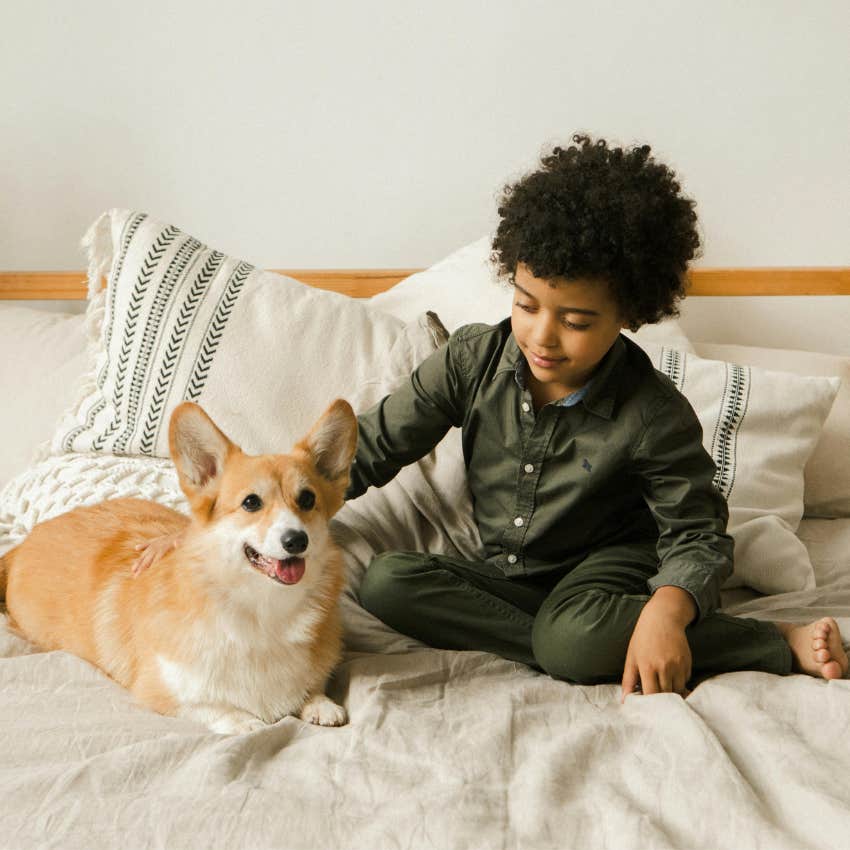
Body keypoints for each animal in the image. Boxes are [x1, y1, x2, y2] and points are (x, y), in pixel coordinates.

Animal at [0, 400, 354, 732]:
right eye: (251, 502)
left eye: (307, 499)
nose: (297, 540)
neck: (263, 610)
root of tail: (27, 541)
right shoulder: (160, 689)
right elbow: (211, 705)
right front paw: (246, 721)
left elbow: (311, 686)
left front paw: (320, 703)